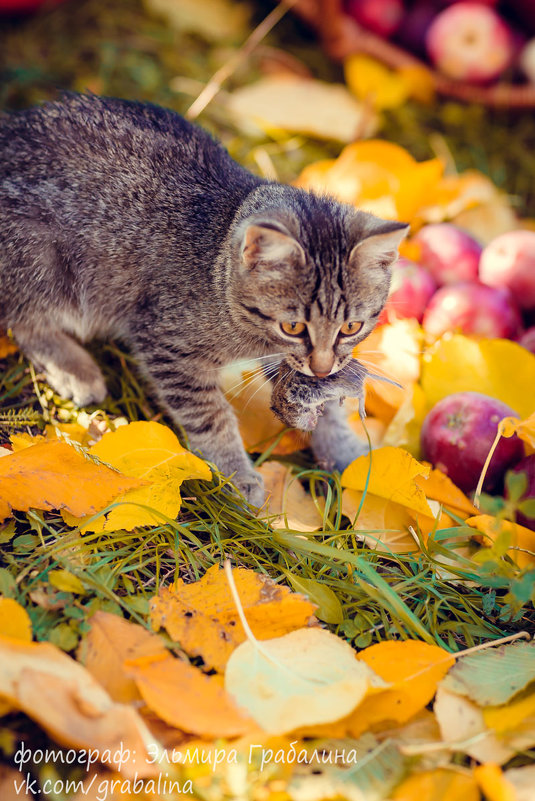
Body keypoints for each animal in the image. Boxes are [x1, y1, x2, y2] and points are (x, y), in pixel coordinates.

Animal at [0, 94, 408, 504]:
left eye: (352, 327)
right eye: (292, 326)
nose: (322, 367)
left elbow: (324, 403)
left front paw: (348, 453)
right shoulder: (166, 343)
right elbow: (209, 414)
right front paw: (236, 473)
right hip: (42, 261)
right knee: (23, 321)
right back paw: (75, 369)